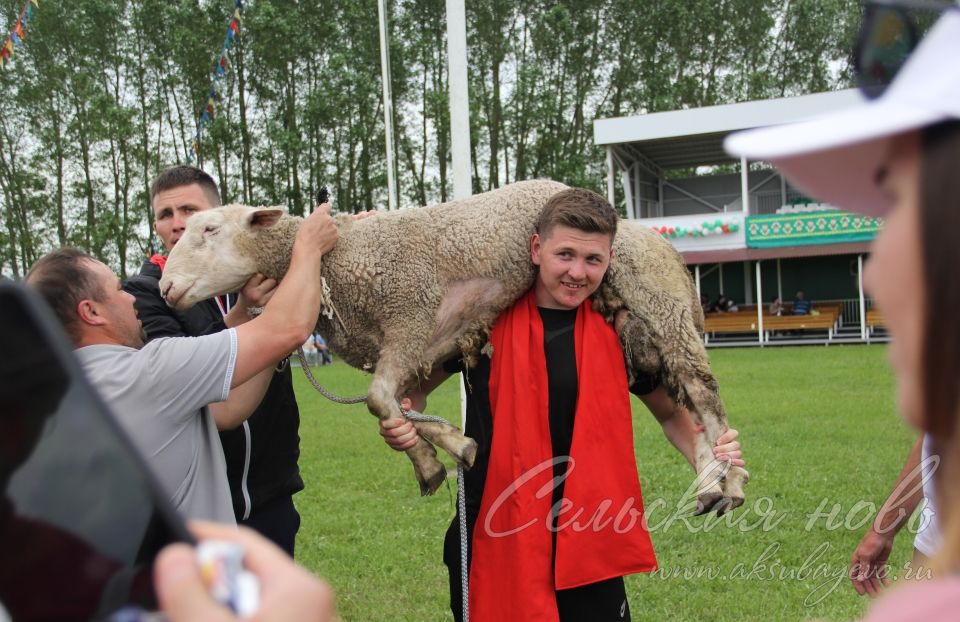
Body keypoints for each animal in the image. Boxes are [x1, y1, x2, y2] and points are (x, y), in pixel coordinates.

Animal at [159, 180, 752, 516]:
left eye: (209, 228)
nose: (165, 286)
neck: (336, 260)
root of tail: (655, 239)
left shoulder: (412, 317)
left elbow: (378, 398)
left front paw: (441, 455)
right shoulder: (425, 345)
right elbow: (392, 406)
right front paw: (444, 450)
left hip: (661, 306)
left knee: (704, 392)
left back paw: (734, 479)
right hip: (638, 329)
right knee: (684, 403)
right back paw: (709, 483)